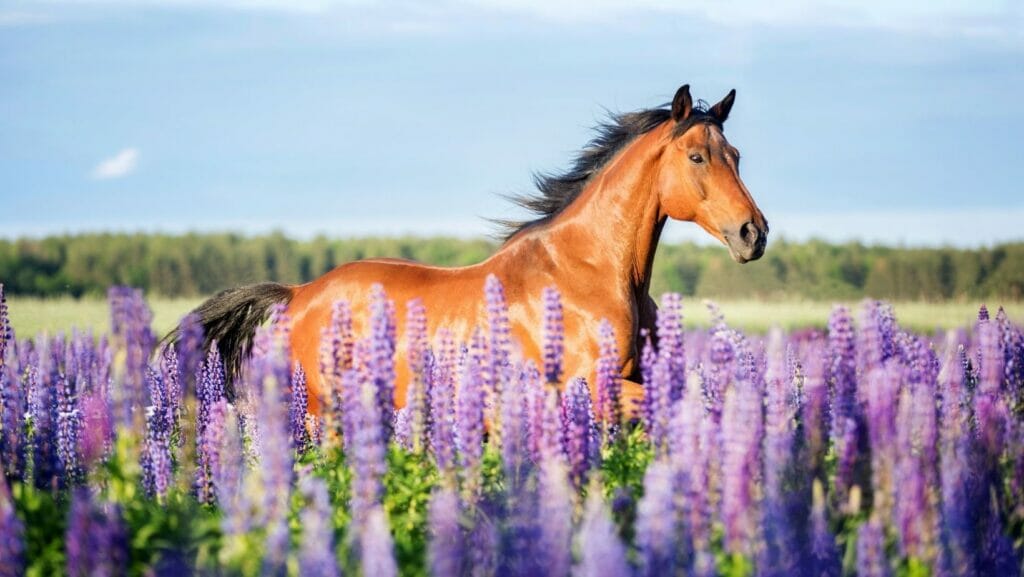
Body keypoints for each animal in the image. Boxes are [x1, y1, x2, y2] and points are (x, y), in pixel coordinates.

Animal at [184, 84, 768, 418]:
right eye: (696, 157)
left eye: (737, 154)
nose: (753, 233)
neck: (593, 272)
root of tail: (300, 292)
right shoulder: (590, 388)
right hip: (319, 411)